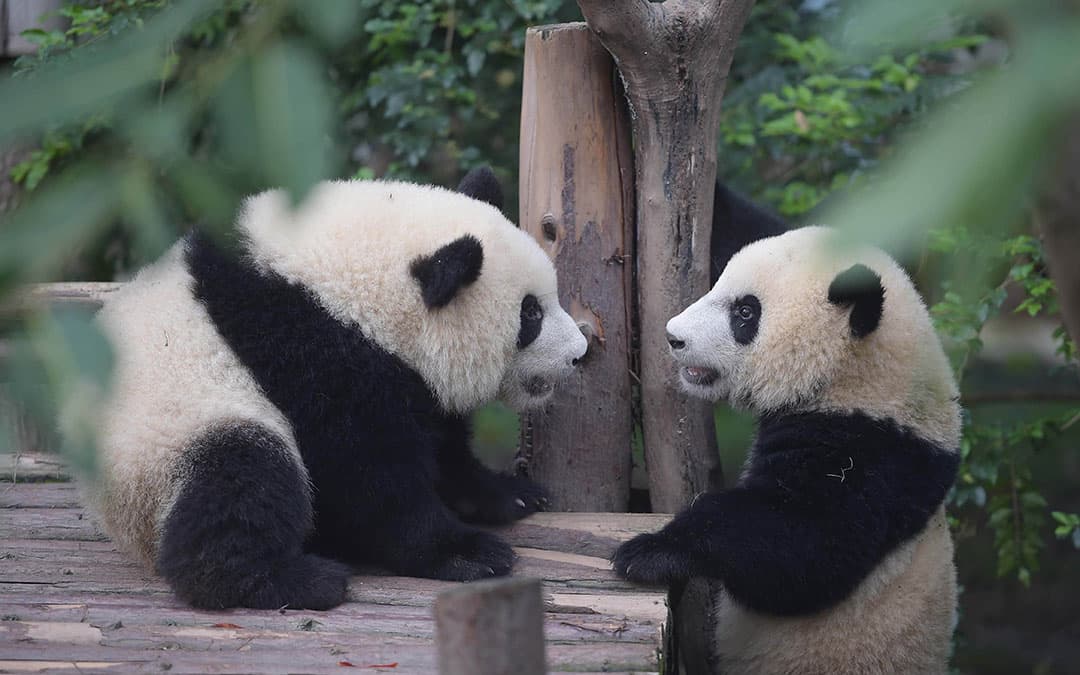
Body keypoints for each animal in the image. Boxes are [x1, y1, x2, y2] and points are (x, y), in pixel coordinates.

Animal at [82, 168, 587, 611]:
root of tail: (122, 522)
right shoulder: (309, 352)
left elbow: (442, 446)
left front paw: (509, 493)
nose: (579, 353)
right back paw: (289, 581)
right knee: (244, 477)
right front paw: (465, 553)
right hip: (171, 440)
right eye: (530, 314)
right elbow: (365, 474)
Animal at [613, 209, 960, 673]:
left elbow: (802, 546)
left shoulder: (873, 456)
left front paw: (651, 550)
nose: (674, 337)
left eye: (745, 312)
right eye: (718, 281)